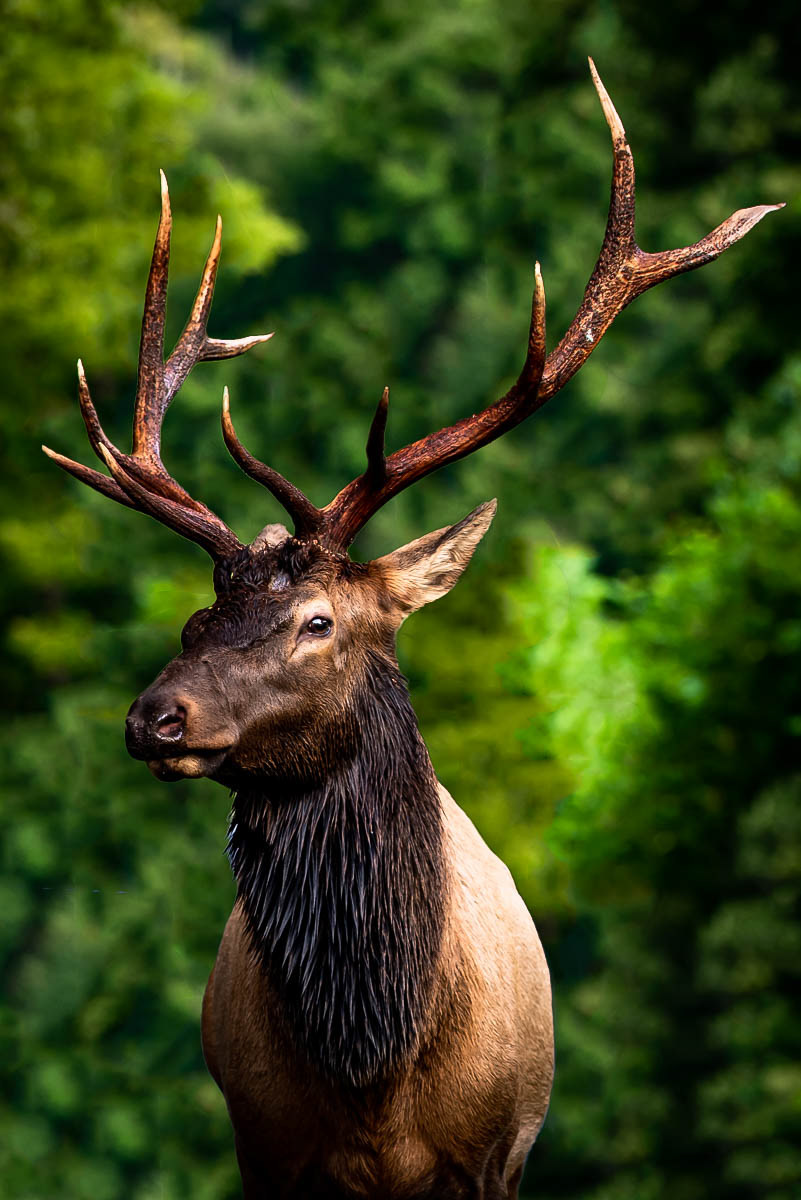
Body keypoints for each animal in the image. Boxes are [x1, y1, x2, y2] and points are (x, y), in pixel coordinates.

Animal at [43, 61, 780, 1200]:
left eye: (316, 621)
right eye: (196, 617)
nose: (153, 719)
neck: (375, 1077)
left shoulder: (489, 1158)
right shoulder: (267, 1152)